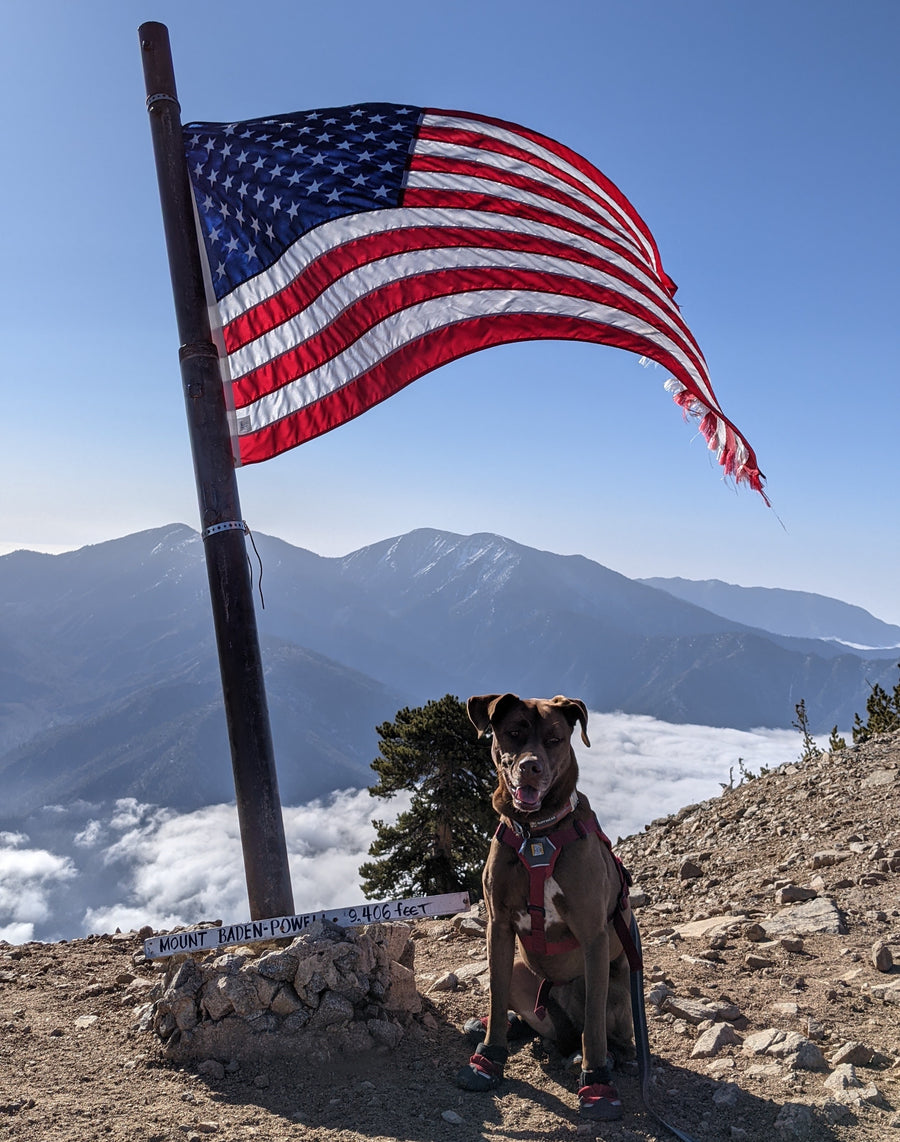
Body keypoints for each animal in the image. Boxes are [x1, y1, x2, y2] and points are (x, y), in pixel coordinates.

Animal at [454, 689, 635, 1119]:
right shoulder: (499, 927)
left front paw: (597, 1083)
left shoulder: (593, 936)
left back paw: (601, 1058)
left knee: (604, 1035)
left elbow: (595, 1030)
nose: (530, 767)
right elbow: (495, 993)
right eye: (514, 733)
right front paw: (488, 1059)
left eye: (554, 739)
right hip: (525, 972)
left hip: (615, 986)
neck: (536, 834)